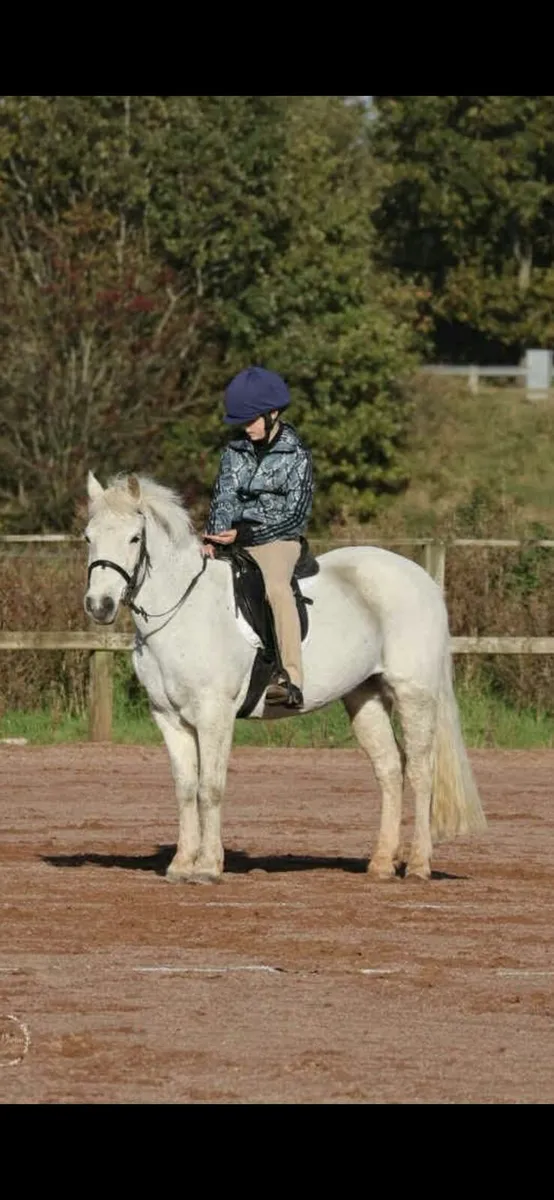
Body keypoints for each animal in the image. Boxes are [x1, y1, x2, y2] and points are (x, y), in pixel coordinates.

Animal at [83, 470, 487, 884]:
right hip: (365, 696)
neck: (182, 608)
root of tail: (423, 579)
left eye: (135, 538)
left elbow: (210, 788)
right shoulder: (168, 717)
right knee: (390, 770)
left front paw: (209, 866)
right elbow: (185, 788)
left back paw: (419, 865)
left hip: (413, 694)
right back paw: (380, 865)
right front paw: (181, 865)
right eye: (88, 536)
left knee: (421, 771)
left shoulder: (215, 715)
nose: (99, 606)